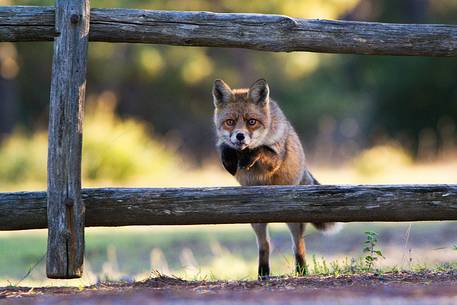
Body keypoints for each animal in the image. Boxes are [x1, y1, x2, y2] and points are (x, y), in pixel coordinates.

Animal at [211, 78, 334, 278]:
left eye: (251, 122)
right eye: (230, 122)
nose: (240, 136)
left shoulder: (274, 159)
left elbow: (261, 149)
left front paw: (249, 156)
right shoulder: (226, 146)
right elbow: (225, 147)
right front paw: (230, 159)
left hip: (294, 220)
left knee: (298, 246)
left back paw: (301, 271)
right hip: (256, 221)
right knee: (265, 246)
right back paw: (263, 273)